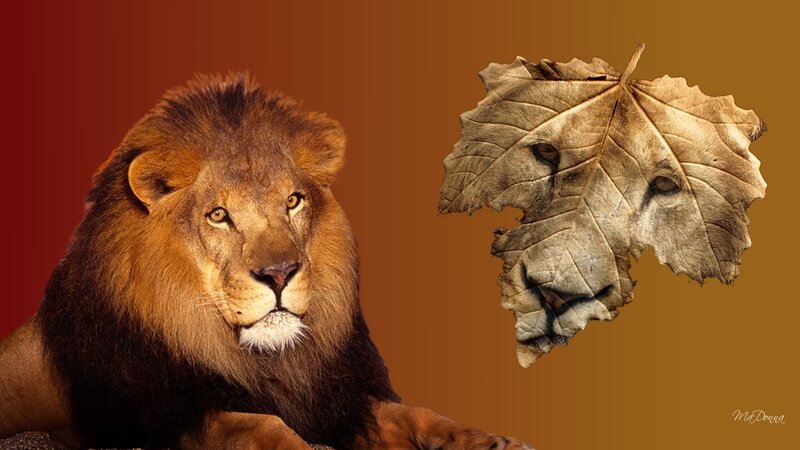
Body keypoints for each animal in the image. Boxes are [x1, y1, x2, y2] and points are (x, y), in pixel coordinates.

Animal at [0, 74, 530, 450]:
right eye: (218, 215)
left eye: (293, 201)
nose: (279, 274)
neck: (265, 361)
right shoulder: (174, 412)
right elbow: (256, 424)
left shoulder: (335, 400)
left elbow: (412, 413)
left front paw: (485, 440)